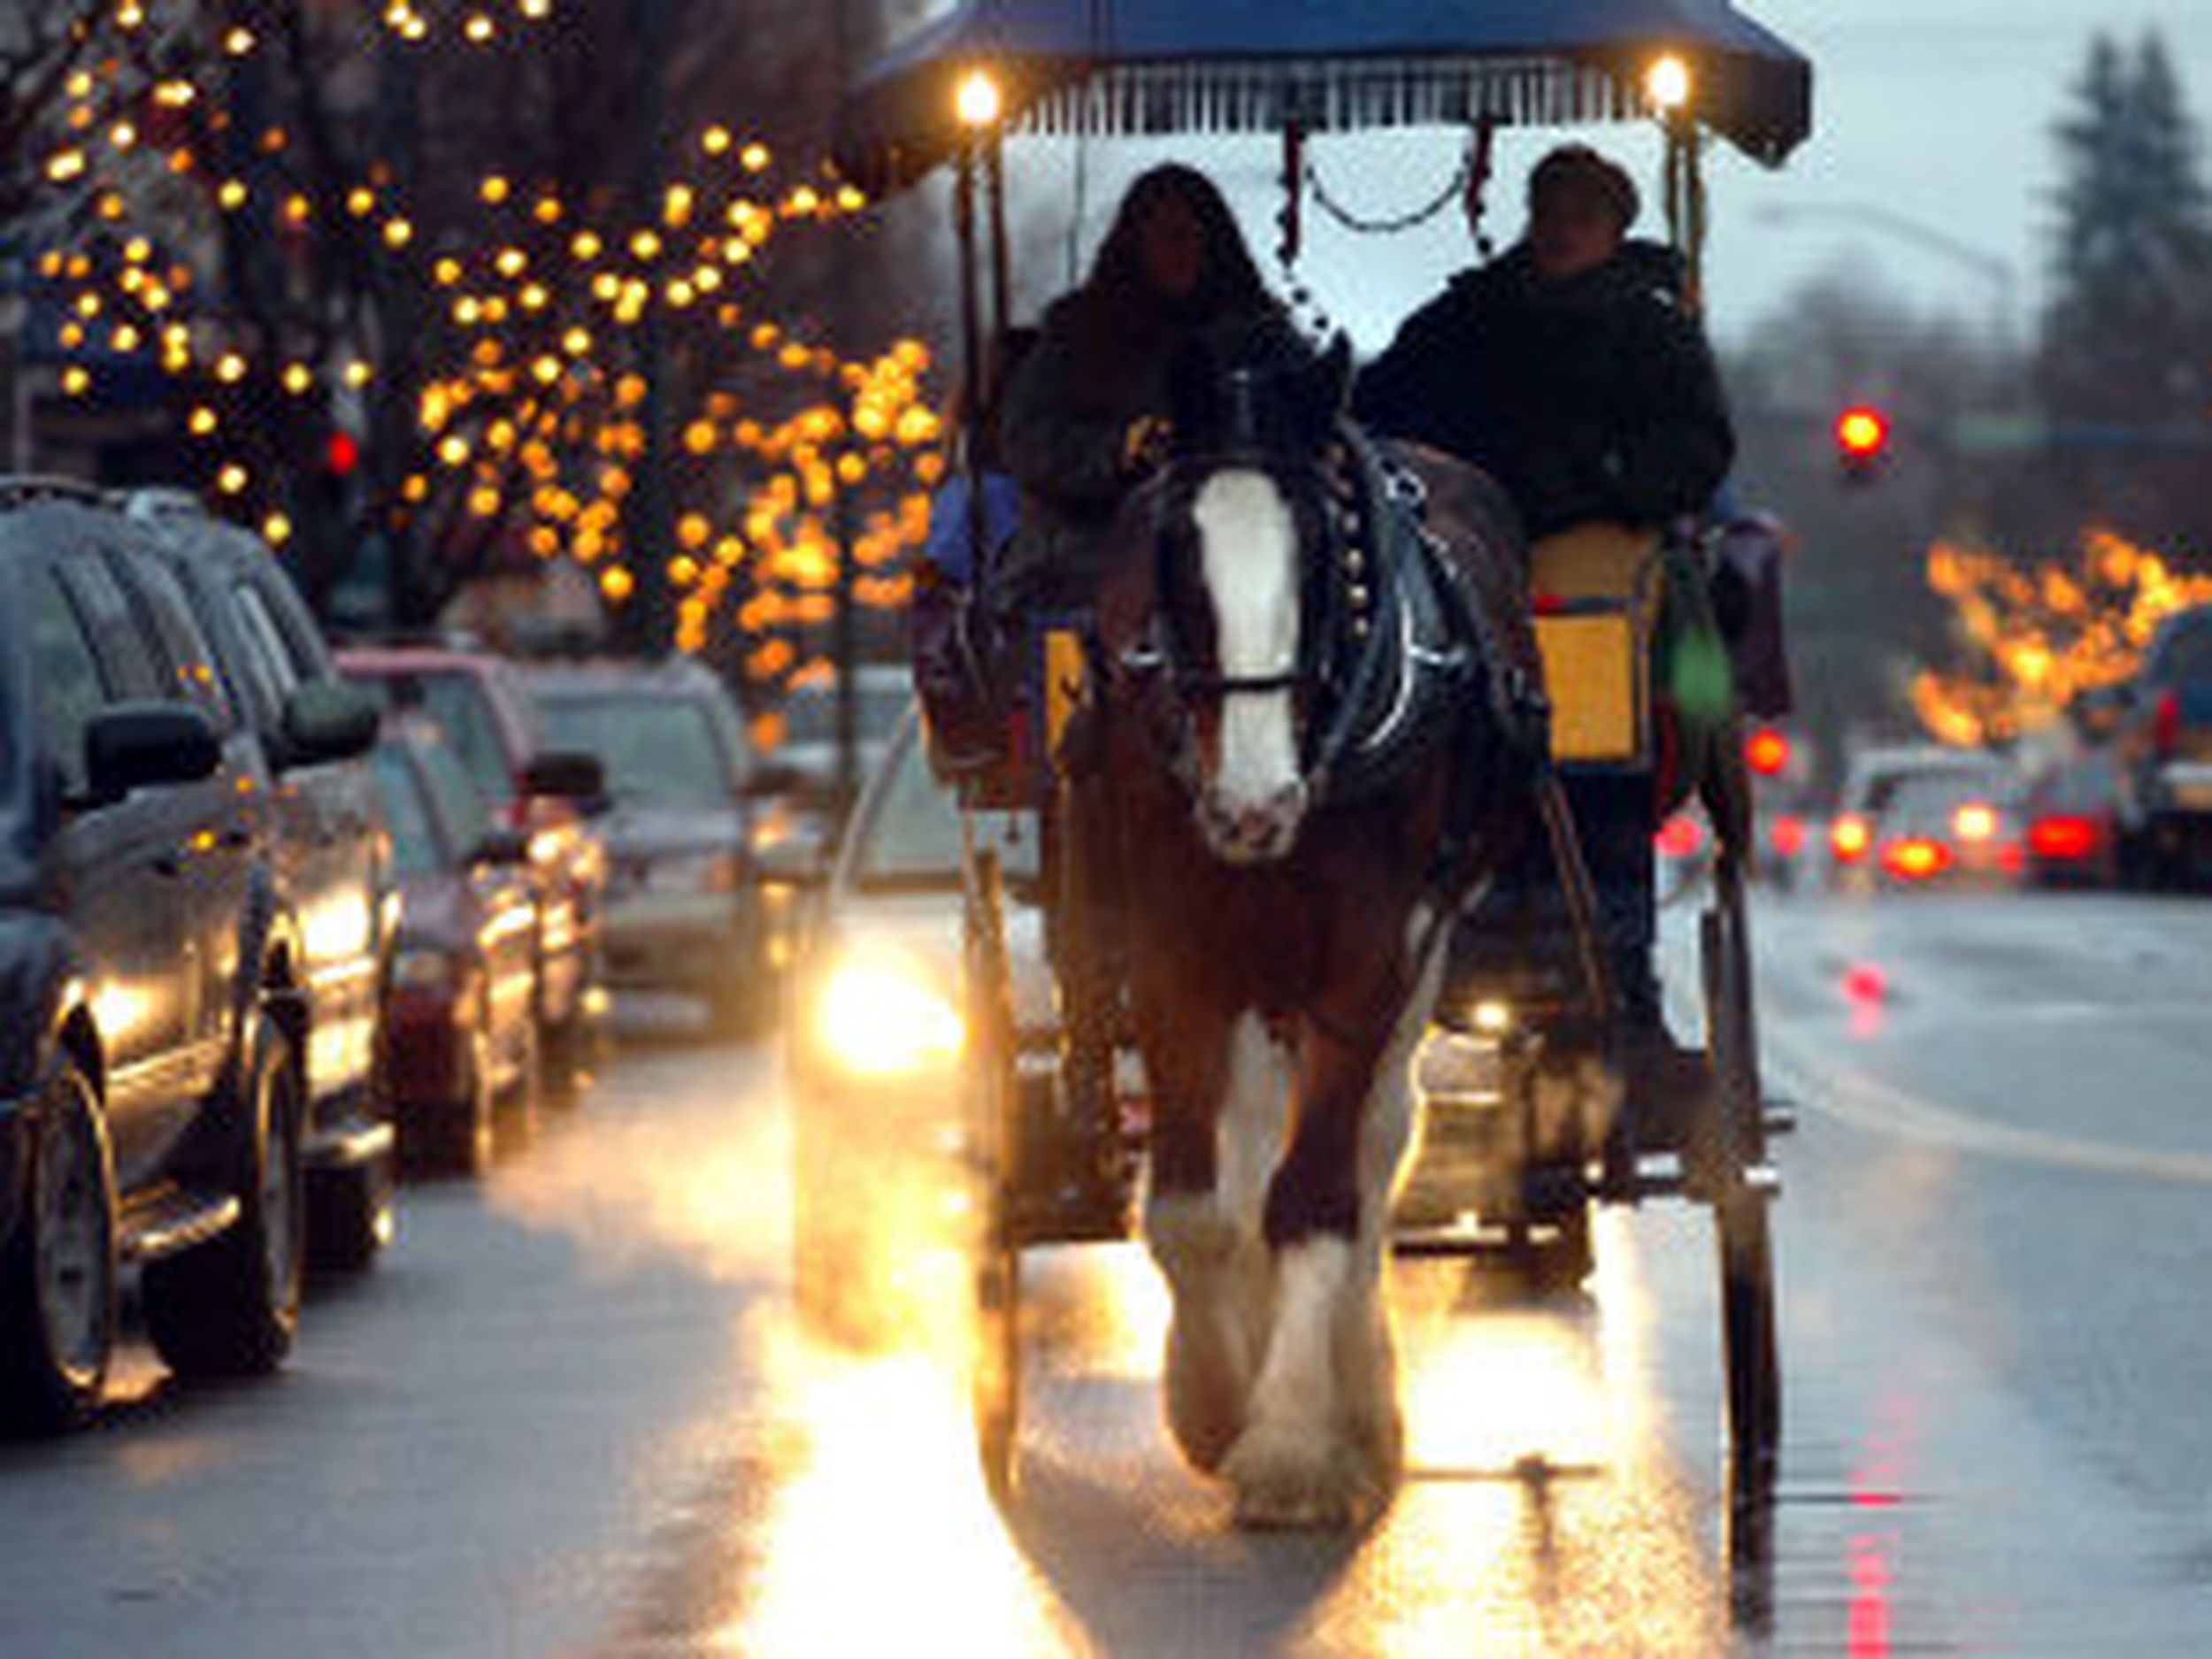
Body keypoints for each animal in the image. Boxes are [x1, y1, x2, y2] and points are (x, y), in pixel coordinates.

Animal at [1084, 319, 1548, 1531]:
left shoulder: (1372, 951)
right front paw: (1210, 1400)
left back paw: (1362, 1401)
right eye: (1174, 551)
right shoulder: (1172, 945)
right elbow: (1195, 1206)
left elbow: (1317, 1197)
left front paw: (1295, 1439)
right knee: (1252, 1141)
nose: (1255, 805)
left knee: (1379, 1141)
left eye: (1321, 552)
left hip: (1413, 952)